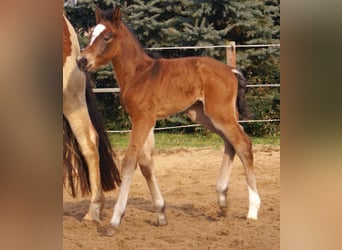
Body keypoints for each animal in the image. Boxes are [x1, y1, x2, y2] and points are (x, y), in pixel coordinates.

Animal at [76, 6, 260, 228]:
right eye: (90, 35)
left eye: (107, 37)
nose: (82, 61)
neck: (138, 74)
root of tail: (230, 70)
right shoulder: (142, 119)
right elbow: (146, 163)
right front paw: (161, 213)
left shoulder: (144, 119)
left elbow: (129, 161)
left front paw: (116, 217)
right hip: (202, 114)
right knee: (230, 143)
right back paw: (222, 199)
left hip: (220, 114)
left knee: (243, 143)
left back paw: (252, 210)